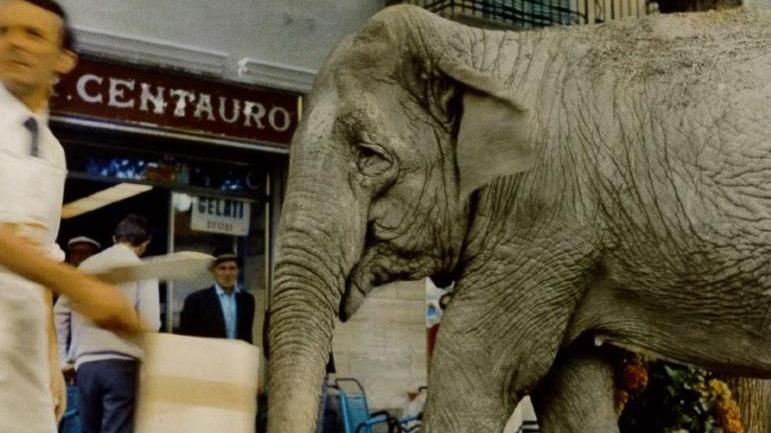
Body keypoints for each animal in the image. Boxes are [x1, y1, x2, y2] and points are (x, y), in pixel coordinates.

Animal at [266, 4, 771, 433]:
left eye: (370, 156)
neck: (480, 49)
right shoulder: (568, 244)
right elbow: (571, 388)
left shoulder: (545, 216)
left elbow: (477, 365)